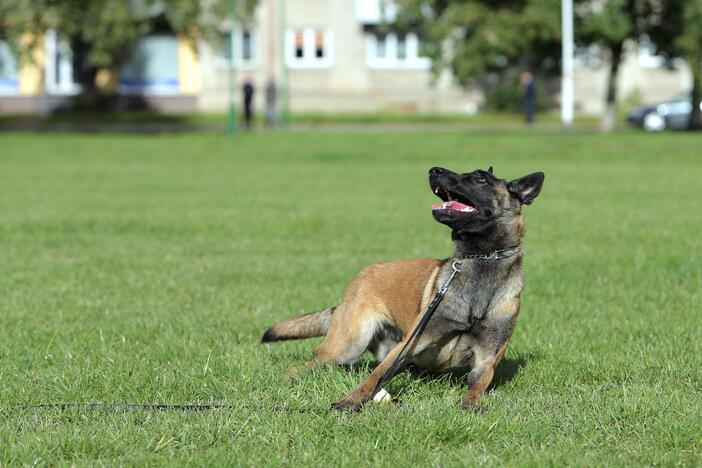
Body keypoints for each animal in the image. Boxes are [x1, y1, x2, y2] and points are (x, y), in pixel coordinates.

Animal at [262, 165, 548, 410]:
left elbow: (477, 387)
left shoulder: (487, 359)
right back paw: (286, 383)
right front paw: (350, 401)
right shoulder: (407, 346)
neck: (482, 259)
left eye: (480, 178)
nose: (434, 170)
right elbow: (373, 378)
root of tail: (357, 281)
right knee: (306, 365)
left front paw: (472, 404)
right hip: (348, 345)